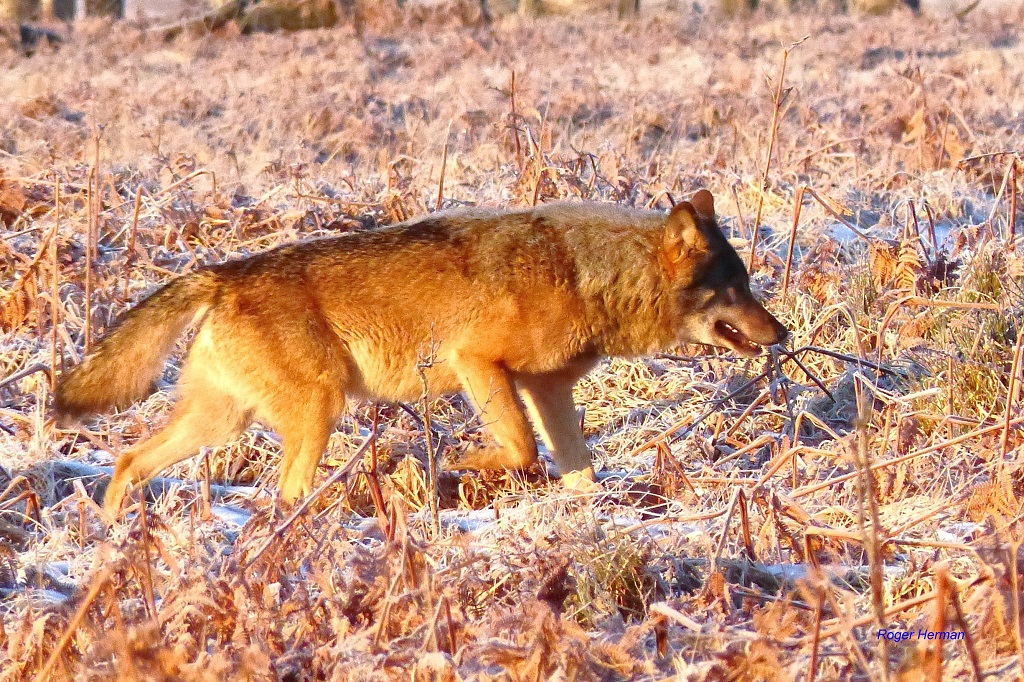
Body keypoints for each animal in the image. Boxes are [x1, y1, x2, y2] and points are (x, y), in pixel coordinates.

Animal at [54, 190, 788, 517]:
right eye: (736, 288)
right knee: (287, 491)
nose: (780, 333)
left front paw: (590, 518)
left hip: (221, 422)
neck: (587, 275)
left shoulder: (550, 389)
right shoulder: (477, 364)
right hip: (318, 407)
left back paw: (115, 537)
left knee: (129, 459)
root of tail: (220, 275)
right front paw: (459, 468)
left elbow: (577, 467)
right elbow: (521, 450)